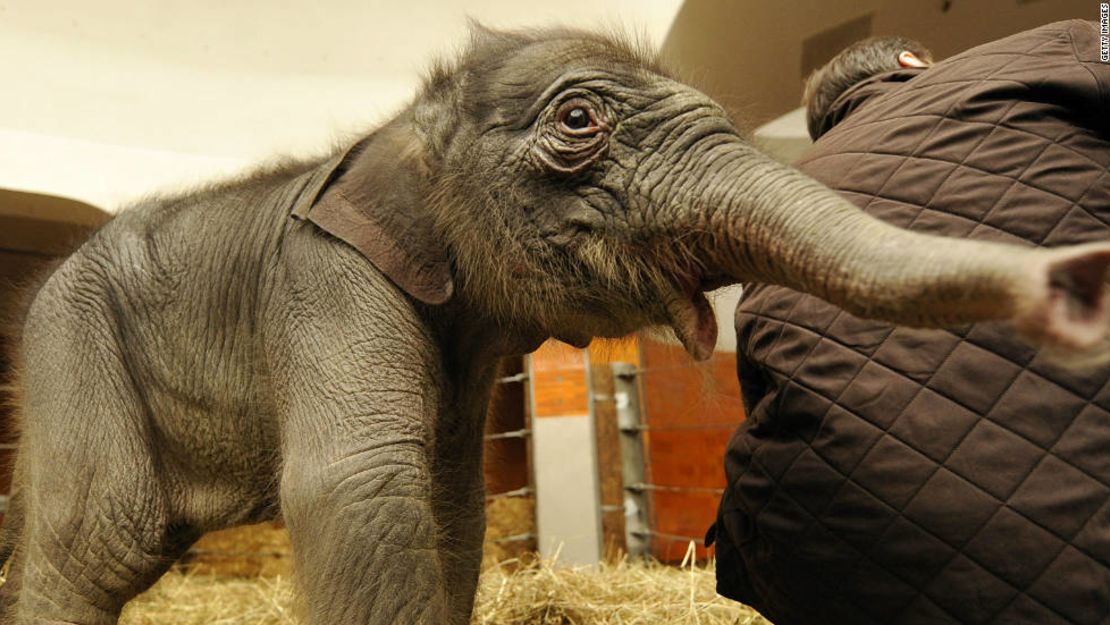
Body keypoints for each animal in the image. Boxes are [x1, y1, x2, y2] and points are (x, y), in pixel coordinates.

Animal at [2, 24, 1110, 625]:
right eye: (580, 122)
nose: (1076, 284)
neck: (401, 130)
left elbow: (449, 506)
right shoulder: (325, 280)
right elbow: (361, 489)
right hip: (72, 344)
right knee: (98, 533)